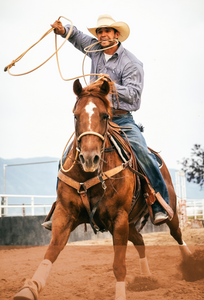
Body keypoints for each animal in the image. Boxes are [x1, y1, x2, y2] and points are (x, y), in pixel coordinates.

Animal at [13, 79, 191, 300]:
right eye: (75, 115)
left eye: (105, 115)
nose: (90, 158)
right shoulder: (65, 213)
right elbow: (51, 251)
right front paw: (29, 288)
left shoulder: (119, 218)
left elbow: (119, 265)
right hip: (130, 223)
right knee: (140, 241)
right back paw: (146, 279)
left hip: (168, 210)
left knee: (177, 234)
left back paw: (191, 265)